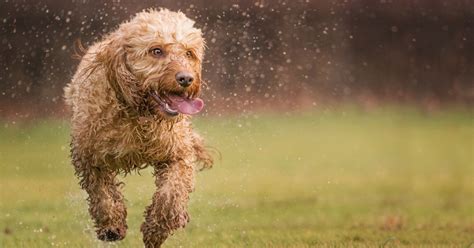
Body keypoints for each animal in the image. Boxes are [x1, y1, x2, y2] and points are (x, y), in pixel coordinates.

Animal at [63, 8, 213, 247]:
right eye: (156, 51)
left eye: (189, 53)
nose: (186, 79)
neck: (139, 113)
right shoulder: (88, 156)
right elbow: (102, 194)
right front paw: (111, 226)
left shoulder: (178, 153)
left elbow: (171, 194)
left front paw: (156, 230)